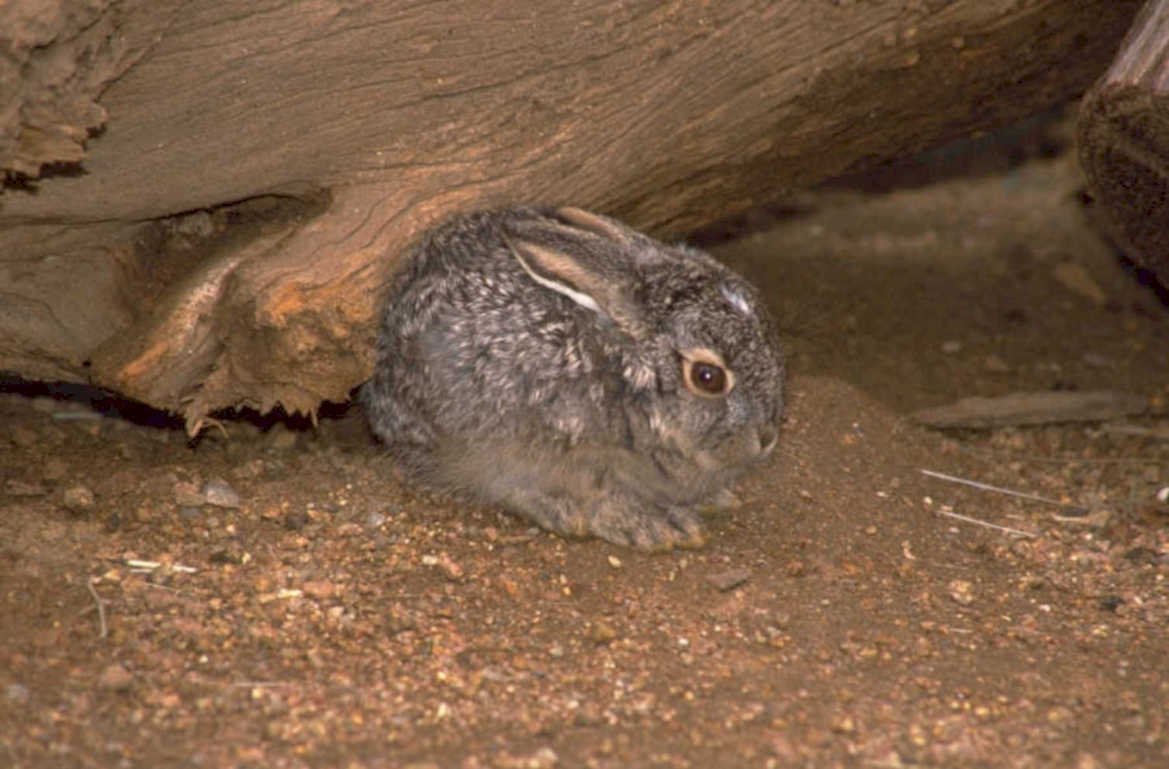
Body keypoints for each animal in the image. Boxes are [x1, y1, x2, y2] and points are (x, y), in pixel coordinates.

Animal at [362, 206, 784, 550]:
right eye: (708, 377)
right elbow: (597, 495)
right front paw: (651, 527)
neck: (630, 369)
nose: (766, 437)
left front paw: (714, 499)